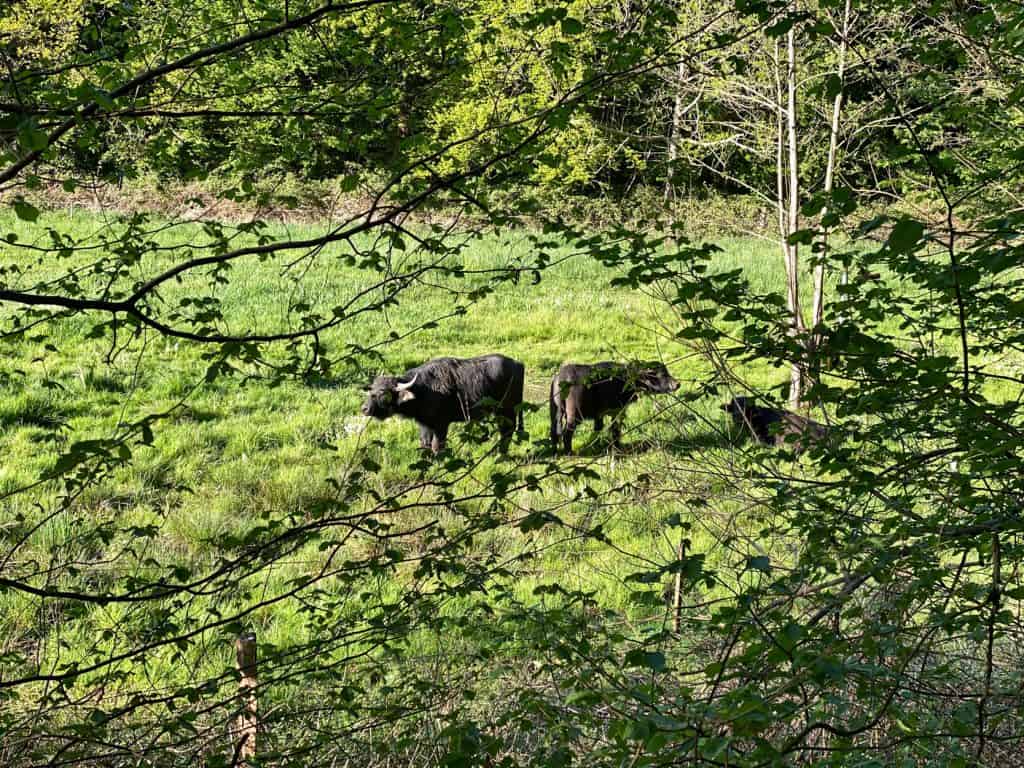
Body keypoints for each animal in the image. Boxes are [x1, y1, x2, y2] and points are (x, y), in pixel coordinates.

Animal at [362, 354, 524, 456]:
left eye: (384, 393)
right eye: (372, 389)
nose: (365, 409)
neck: (424, 390)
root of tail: (517, 364)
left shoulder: (441, 425)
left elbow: (437, 445)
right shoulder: (425, 425)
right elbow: (425, 444)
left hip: (507, 410)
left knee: (507, 431)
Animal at [548, 362, 684, 454]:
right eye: (662, 374)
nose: (677, 384)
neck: (626, 379)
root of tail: (562, 377)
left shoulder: (600, 414)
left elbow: (598, 428)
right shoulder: (617, 411)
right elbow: (615, 430)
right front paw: (618, 447)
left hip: (555, 411)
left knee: (554, 431)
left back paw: (555, 452)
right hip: (575, 415)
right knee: (566, 434)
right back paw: (569, 453)